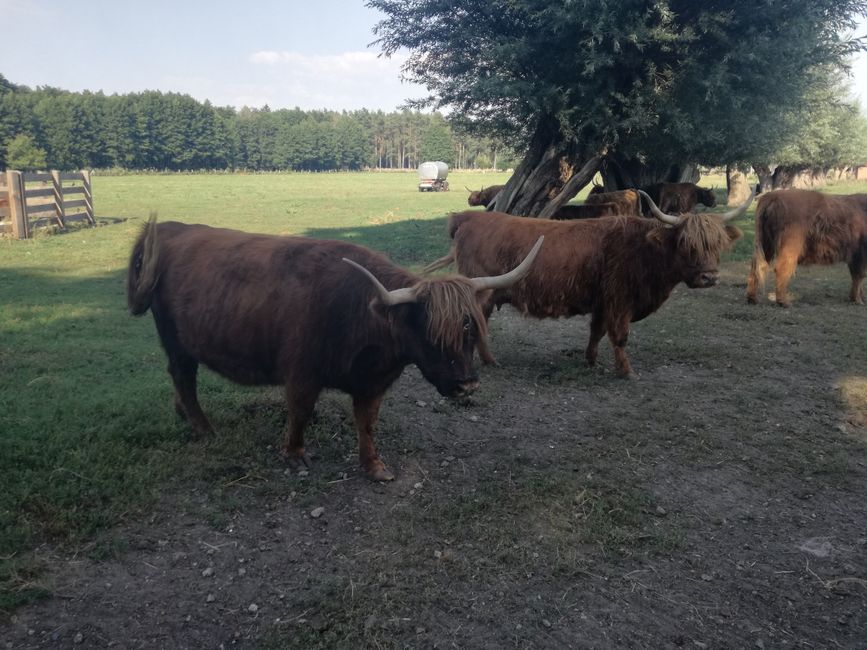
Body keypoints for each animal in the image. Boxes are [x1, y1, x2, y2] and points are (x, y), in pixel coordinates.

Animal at [127, 217, 543, 481]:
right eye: (430, 331)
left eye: (470, 328)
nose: (467, 384)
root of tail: (169, 229)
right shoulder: (301, 374)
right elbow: (300, 413)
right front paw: (295, 454)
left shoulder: (373, 384)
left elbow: (367, 423)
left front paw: (374, 467)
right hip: (175, 338)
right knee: (183, 375)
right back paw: (203, 427)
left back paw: (184, 415)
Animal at [424, 190, 753, 377]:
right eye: (687, 244)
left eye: (718, 244)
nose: (710, 277)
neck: (643, 249)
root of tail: (466, 218)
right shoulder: (620, 301)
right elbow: (619, 337)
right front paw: (627, 372)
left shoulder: (603, 302)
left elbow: (597, 332)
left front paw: (591, 361)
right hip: (482, 292)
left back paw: (490, 361)